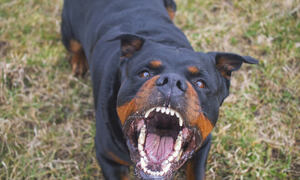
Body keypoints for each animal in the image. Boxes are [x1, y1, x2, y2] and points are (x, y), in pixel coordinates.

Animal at [60, 0, 258, 179]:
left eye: (201, 83)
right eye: (144, 73)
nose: (172, 81)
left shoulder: (202, 146)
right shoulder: (108, 158)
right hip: (69, 33)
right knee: (74, 46)